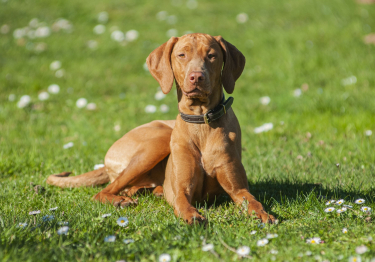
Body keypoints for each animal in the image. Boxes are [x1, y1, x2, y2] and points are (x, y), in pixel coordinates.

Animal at [47, 32, 276, 224]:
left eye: (212, 56)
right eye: (182, 55)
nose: (196, 76)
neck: (200, 122)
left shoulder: (238, 189)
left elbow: (253, 200)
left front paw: (263, 214)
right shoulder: (181, 189)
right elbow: (182, 203)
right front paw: (192, 215)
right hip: (157, 143)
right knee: (104, 191)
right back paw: (120, 200)